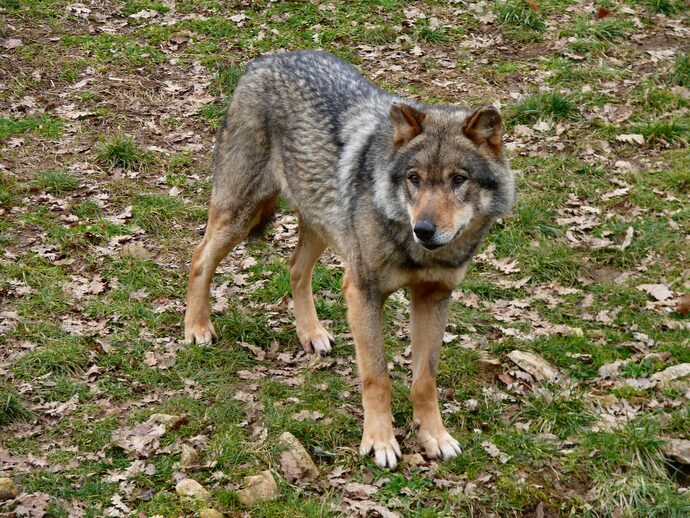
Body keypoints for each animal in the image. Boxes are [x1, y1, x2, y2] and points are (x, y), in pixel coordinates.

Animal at [185, 51, 512, 472]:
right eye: (414, 178)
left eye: (459, 180)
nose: (423, 229)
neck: (415, 247)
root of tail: (265, 59)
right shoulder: (362, 291)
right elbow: (377, 376)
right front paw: (380, 442)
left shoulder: (434, 297)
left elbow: (425, 379)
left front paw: (434, 437)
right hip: (240, 215)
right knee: (199, 258)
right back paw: (197, 327)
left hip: (320, 225)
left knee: (295, 269)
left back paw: (311, 333)